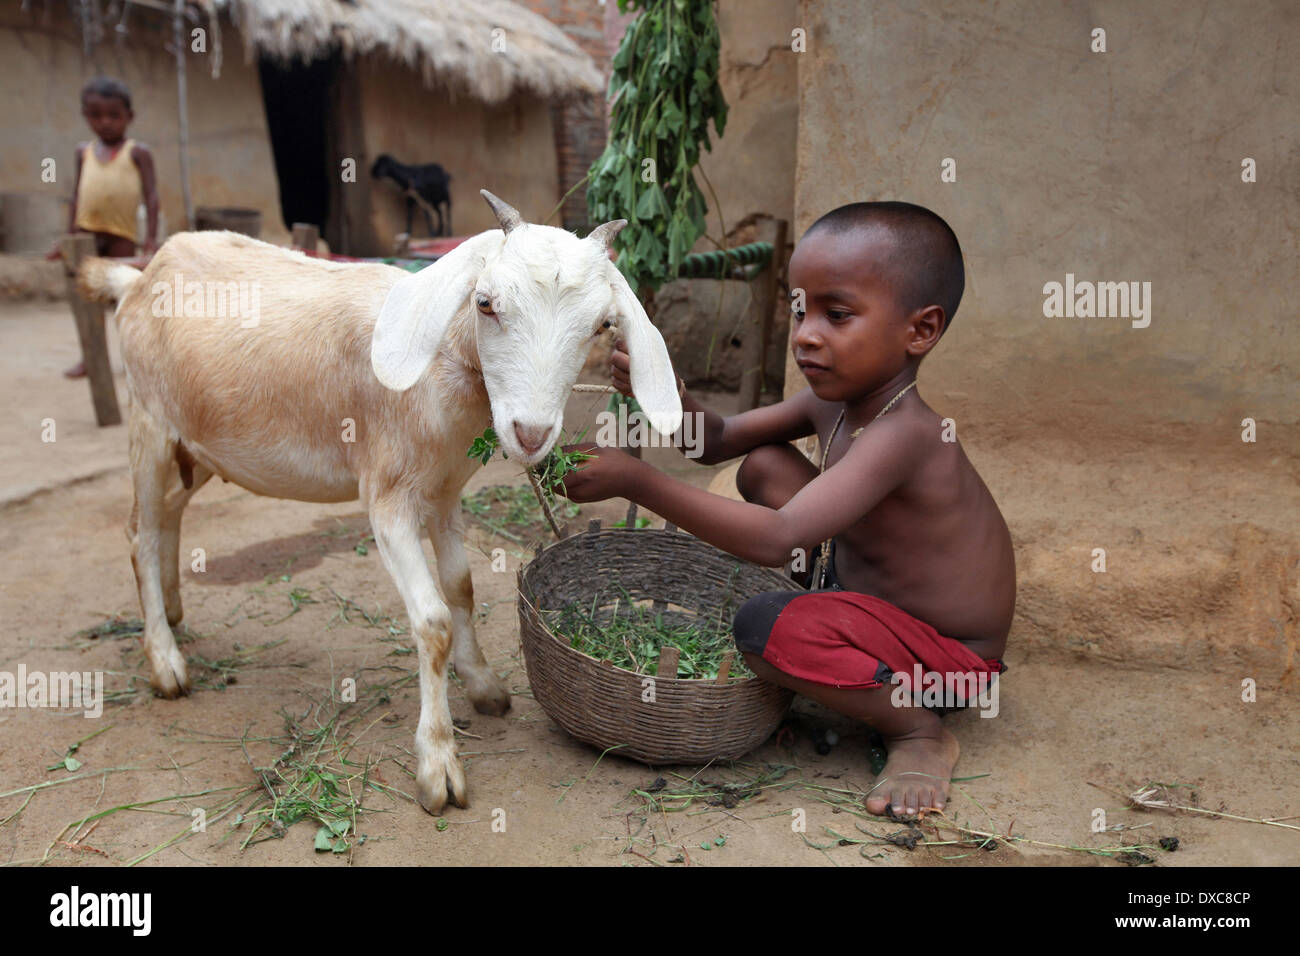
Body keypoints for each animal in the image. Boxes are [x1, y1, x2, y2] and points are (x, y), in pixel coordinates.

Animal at [79, 192, 686, 816]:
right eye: (485, 303)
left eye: (602, 325)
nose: (531, 433)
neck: (444, 363)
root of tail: (138, 276)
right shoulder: (388, 498)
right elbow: (433, 621)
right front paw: (439, 766)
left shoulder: (445, 491)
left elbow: (462, 588)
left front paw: (485, 686)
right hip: (150, 423)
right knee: (140, 533)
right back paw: (165, 661)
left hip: (196, 444)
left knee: (169, 514)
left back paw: (175, 611)